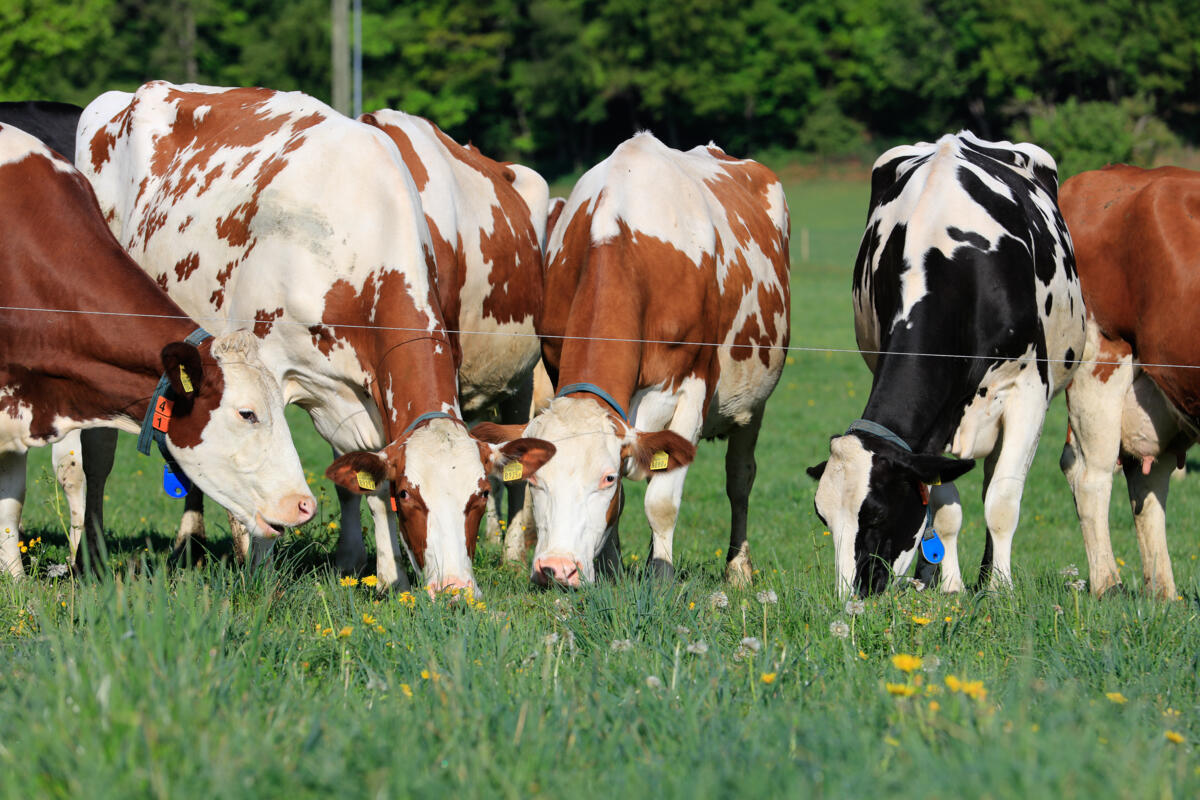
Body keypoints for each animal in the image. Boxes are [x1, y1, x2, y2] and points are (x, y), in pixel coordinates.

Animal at [71, 82, 555, 592]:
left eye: (477, 495)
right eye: (410, 495)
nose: (456, 590)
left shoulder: (357, 389)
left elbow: (363, 476)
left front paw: (386, 576)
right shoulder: (265, 368)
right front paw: (259, 569)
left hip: (522, 381)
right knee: (98, 455)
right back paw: (93, 557)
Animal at [474, 131, 791, 588]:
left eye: (605, 478)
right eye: (535, 480)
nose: (556, 569)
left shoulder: (692, 389)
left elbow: (661, 501)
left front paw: (660, 576)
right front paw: (611, 568)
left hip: (753, 402)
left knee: (740, 478)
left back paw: (738, 569)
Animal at [808, 131, 1085, 598]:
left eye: (877, 513)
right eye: (823, 517)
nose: (852, 599)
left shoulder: (1028, 393)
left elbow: (1002, 502)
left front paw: (1000, 589)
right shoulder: (935, 424)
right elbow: (943, 508)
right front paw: (951, 585)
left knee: (994, 483)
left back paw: (989, 575)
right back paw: (931, 575)